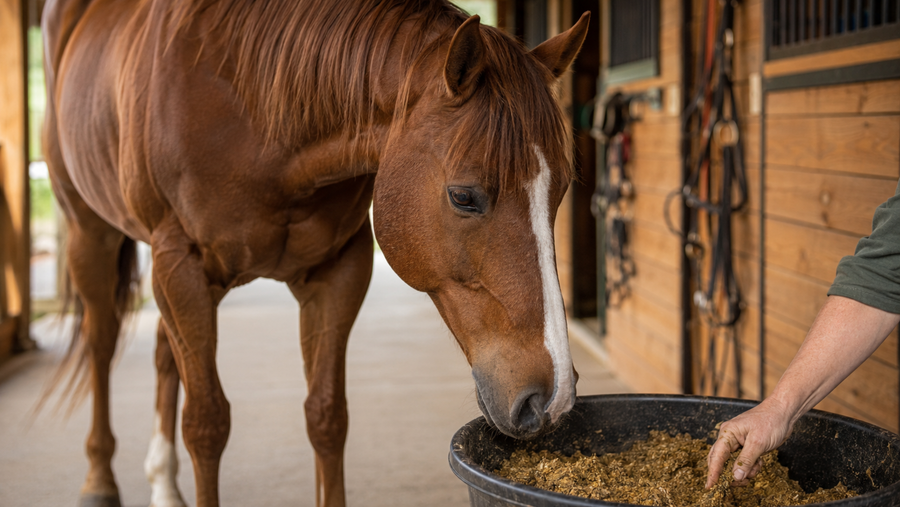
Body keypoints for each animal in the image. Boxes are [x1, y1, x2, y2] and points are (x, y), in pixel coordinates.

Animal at [41, 0, 589, 505]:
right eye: (464, 196)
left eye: (561, 189)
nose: (553, 398)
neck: (252, 106)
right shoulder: (183, 267)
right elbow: (206, 424)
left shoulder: (338, 270)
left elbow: (327, 415)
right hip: (91, 234)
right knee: (100, 342)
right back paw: (99, 482)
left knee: (161, 350)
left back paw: (163, 482)